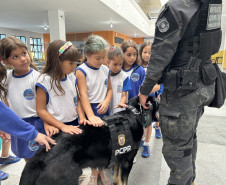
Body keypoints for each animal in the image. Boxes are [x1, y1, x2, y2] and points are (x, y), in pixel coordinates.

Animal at [19, 96, 158, 184]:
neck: (135, 113)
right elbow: (123, 181)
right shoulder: (127, 162)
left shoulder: (118, 159)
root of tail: (41, 159)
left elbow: (117, 179)